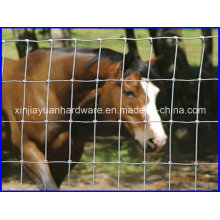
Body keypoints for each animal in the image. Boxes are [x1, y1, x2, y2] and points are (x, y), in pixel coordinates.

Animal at [2, 46, 167, 191]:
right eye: (129, 92)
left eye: (156, 93)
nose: (158, 140)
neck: (49, 91)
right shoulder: (27, 151)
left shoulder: (66, 155)